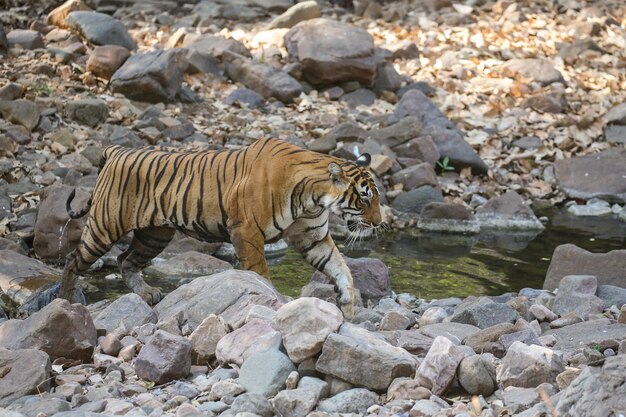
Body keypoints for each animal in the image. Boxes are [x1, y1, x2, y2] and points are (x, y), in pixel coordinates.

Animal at [59, 136, 380, 316]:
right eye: (364, 199)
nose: (379, 224)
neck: (314, 198)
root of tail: (116, 150)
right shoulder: (247, 232)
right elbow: (260, 273)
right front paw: (274, 299)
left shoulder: (312, 236)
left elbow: (341, 268)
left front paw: (348, 305)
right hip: (105, 225)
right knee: (73, 260)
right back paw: (65, 302)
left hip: (155, 234)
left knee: (126, 260)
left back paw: (147, 294)